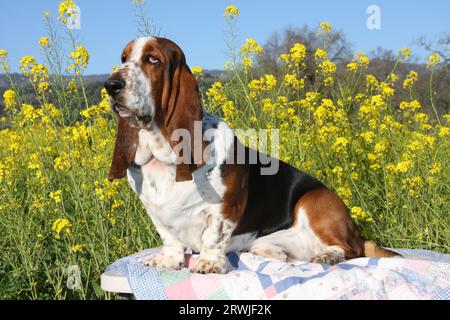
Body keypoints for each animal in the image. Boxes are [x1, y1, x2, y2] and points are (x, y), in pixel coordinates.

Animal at [103, 36, 400, 274]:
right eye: (123, 59)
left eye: (152, 59)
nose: (111, 85)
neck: (162, 155)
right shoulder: (157, 214)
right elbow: (170, 238)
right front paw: (168, 259)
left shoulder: (224, 209)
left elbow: (214, 236)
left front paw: (209, 263)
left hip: (315, 203)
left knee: (351, 249)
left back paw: (327, 256)